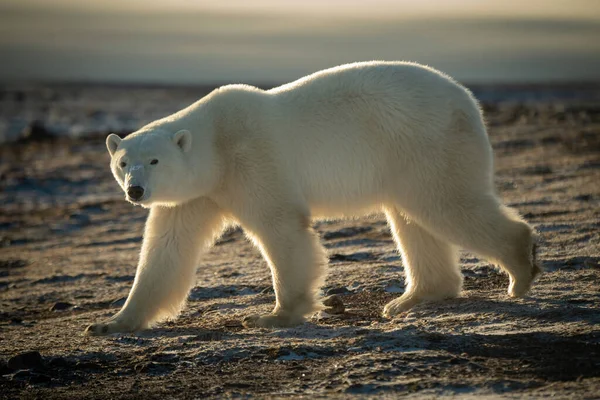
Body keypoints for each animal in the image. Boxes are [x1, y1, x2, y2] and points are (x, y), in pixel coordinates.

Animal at [84, 60, 540, 334]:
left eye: (155, 160)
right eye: (123, 162)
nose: (136, 190)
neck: (215, 141)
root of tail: (468, 99)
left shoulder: (251, 158)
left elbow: (282, 226)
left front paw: (274, 315)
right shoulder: (198, 194)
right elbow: (167, 250)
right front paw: (111, 323)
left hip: (423, 142)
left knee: (446, 204)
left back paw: (520, 271)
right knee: (413, 220)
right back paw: (410, 299)